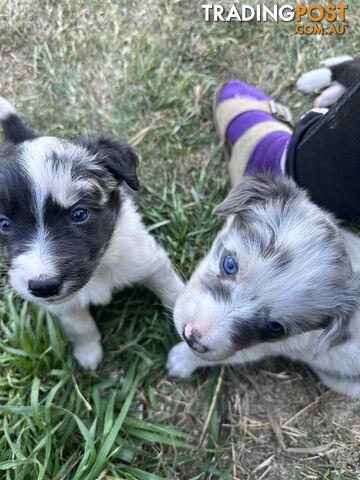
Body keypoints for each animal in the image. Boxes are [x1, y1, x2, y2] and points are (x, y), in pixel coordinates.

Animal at [0, 95, 184, 370]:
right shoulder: (63, 305)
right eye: (3, 225)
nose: (43, 286)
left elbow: (173, 293)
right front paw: (88, 353)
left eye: (79, 214)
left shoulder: (149, 261)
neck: (99, 268)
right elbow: (81, 327)